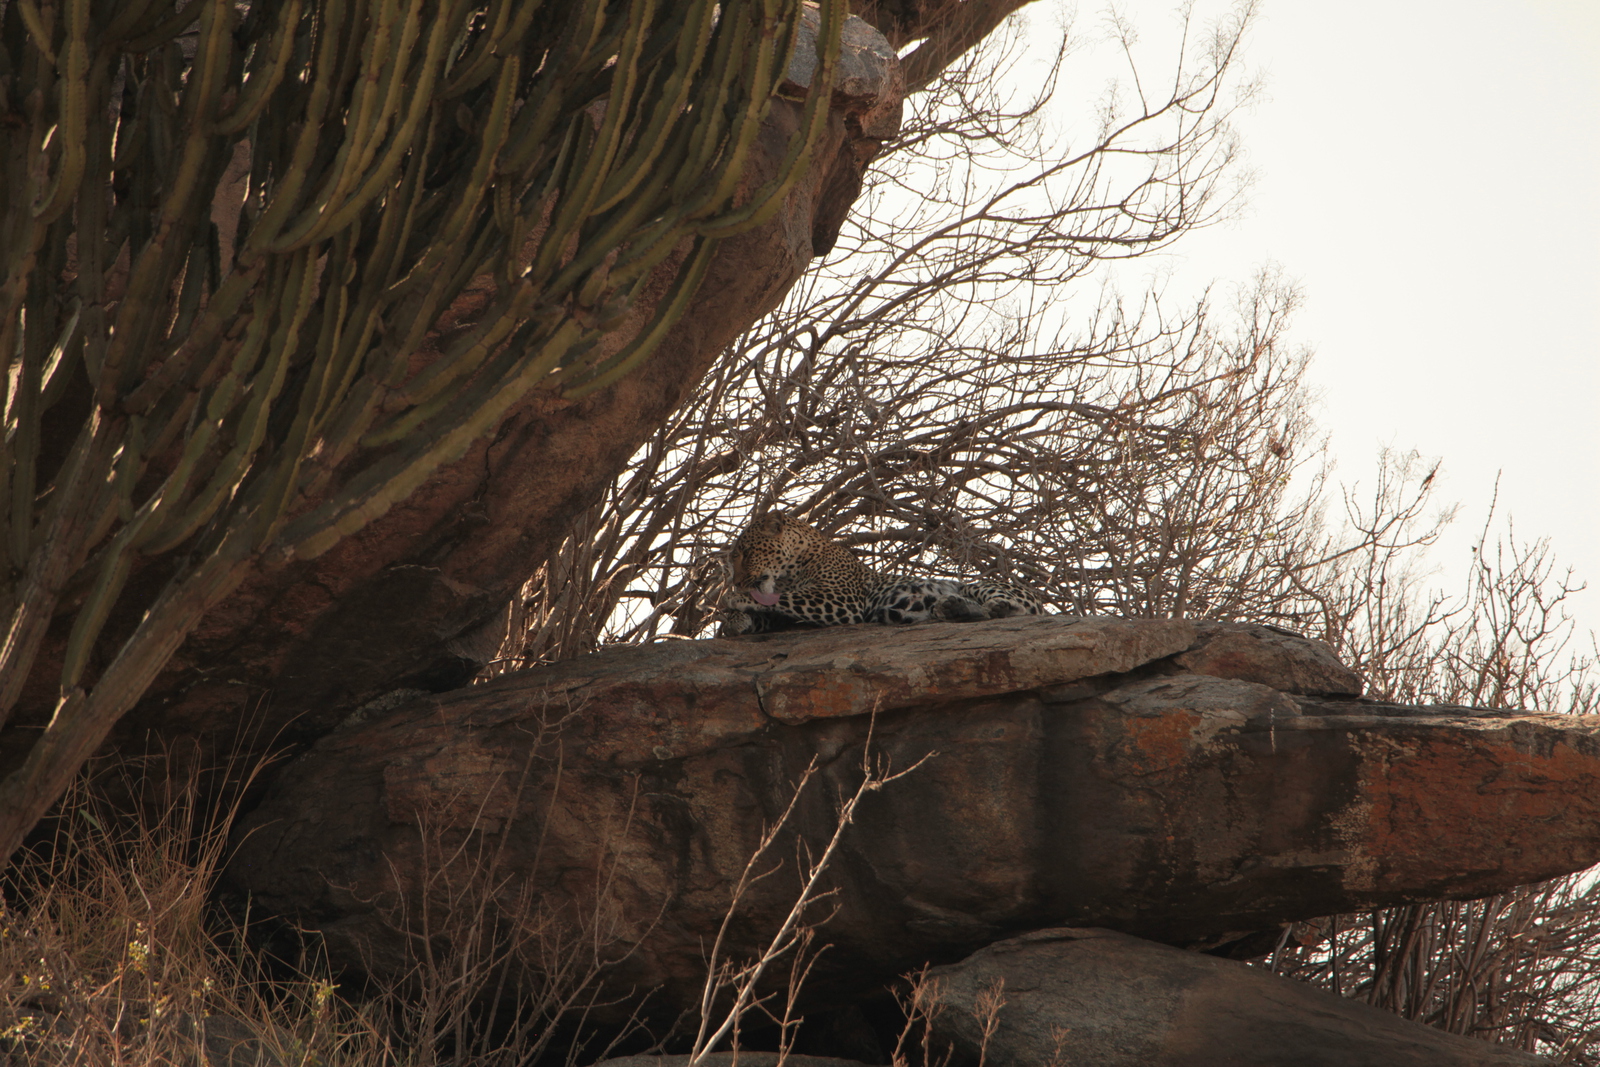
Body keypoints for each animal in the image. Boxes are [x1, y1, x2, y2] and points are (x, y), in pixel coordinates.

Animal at [720, 511, 1043, 639]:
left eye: (746, 552)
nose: (737, 581)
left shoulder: (840, 600)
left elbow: (786, 597)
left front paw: (732, 600)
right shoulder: (782, 617)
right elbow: (768, 610)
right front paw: (735, 622)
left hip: (981, 585)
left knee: (1005, 609)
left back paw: (983, 607)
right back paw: (949, 607)